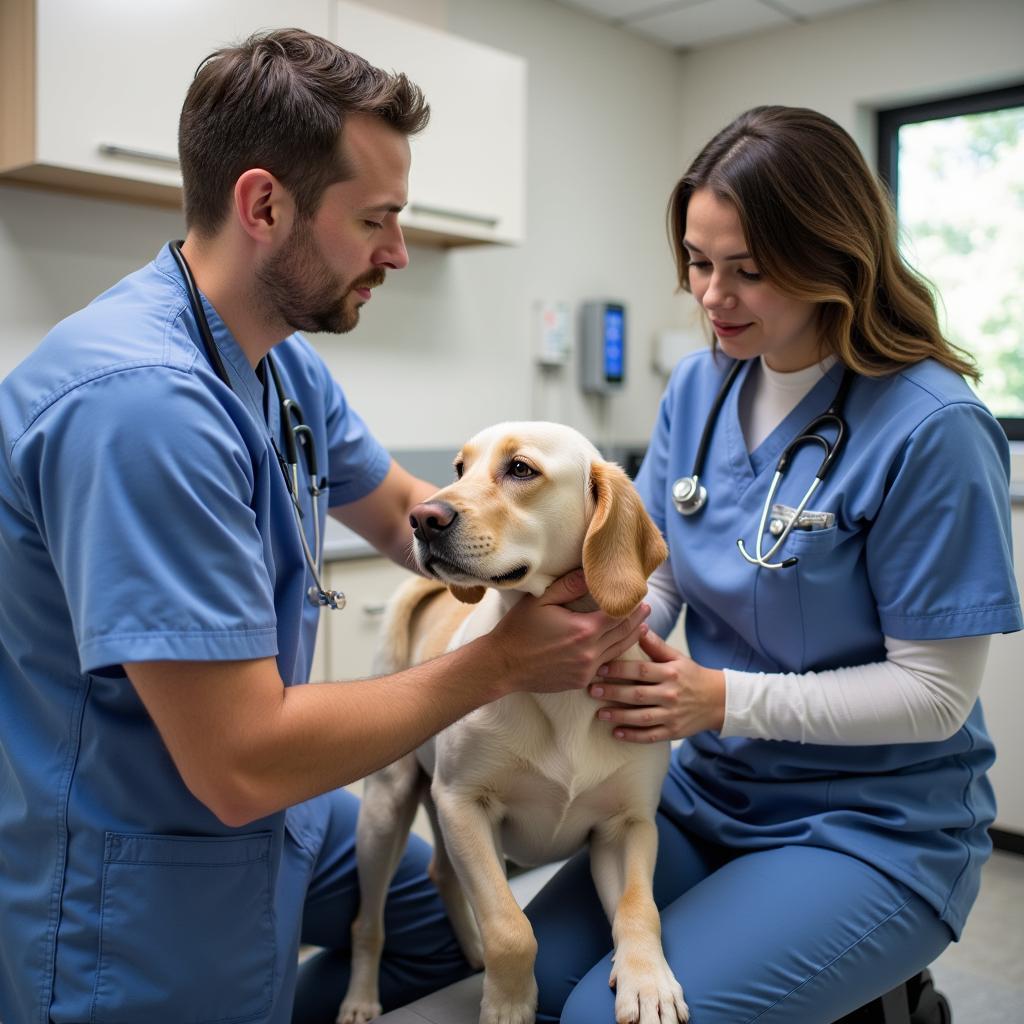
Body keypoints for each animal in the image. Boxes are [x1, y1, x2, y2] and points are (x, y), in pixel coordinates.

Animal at [337, 419, 688, 1019]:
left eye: (521, 469)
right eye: (459, 469)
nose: (422, 518)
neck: (565, 693)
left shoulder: (628, 826)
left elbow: (639, 908)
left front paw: (650, 984)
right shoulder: (464, 806)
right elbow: (510, 927)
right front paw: (509, 1004)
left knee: (440, 875)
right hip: (385, 810)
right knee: (368, 921)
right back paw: (361, 999)